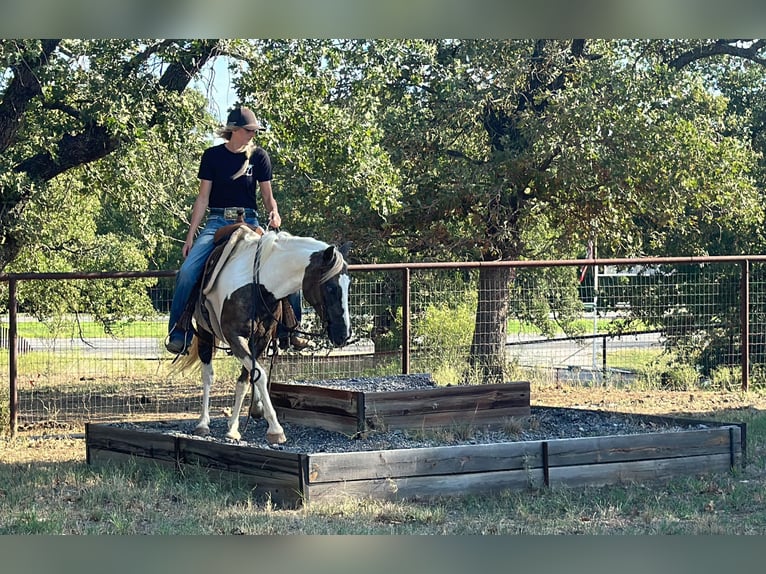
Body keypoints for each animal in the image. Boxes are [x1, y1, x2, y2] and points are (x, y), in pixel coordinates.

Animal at [174, 230, 352, 446]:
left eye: (349, 285)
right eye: (331, 288)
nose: (344, 334)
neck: (258, 285)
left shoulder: (260, 340)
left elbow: (246, 378)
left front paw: (233, 428)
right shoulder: (235, 338)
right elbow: (259, 375)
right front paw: (276, 429)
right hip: (205, 333)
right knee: (208, 375)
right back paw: (203, 423)